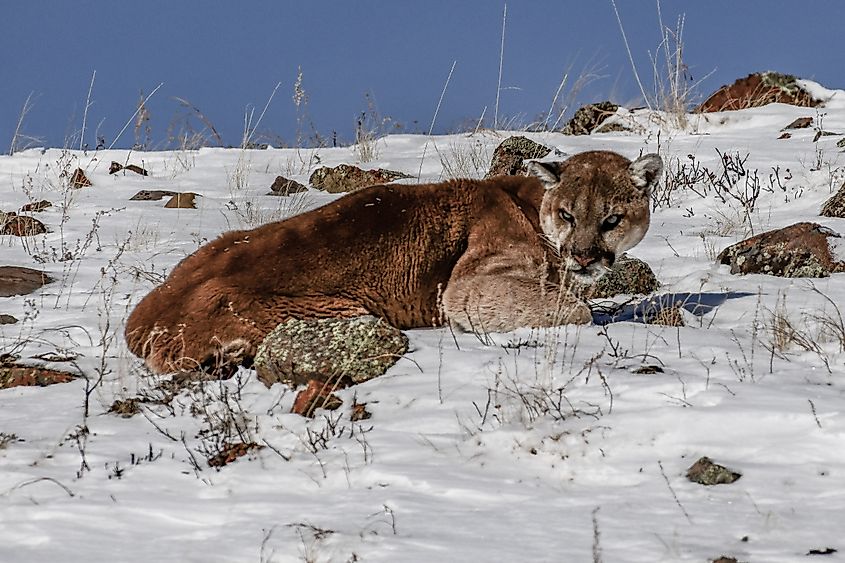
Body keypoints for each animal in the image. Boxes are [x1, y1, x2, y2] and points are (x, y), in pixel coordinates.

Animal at [125, 149, 662, 374]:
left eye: (611, 219)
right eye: (568, 214)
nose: (584, 256)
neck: (532, 206)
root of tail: (141, 320)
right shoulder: (467, 287)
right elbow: (577, 309)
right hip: (339, 312)